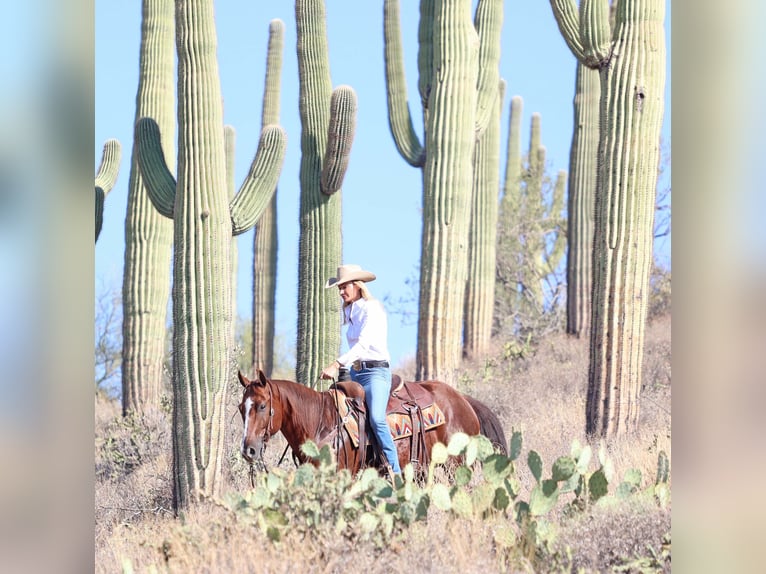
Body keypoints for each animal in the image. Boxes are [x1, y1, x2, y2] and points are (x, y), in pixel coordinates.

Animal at [237, 372, 508, 474]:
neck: (320, 423)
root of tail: (463, 400)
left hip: (456, 466)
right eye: (241, 408)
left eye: (262, 406)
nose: (249, 450)